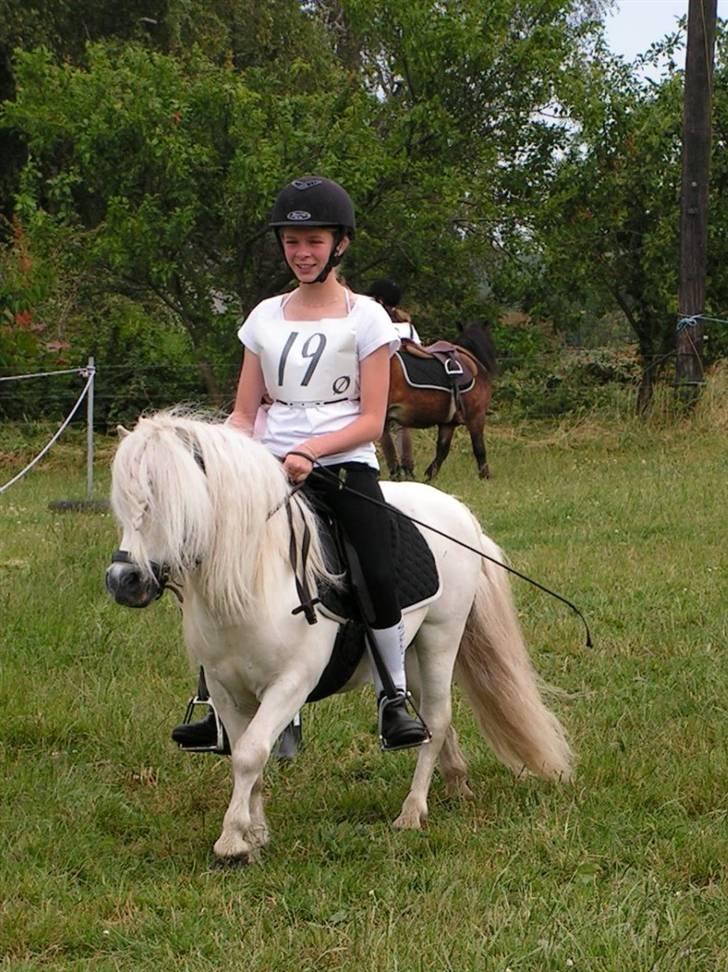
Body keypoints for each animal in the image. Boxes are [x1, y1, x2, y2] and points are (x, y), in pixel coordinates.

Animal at [106, 414, 576, 860]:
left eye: (172, 501)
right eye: (124, 504)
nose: (123, 581)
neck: (255, 575)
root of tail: (461, 515)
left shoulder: (291, 683)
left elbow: (251, 752)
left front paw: (232, 841)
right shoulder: (225, 689)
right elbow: (244, 753)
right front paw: (255, 835)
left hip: (441, 635)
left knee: (438, 717)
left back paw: (412, 811)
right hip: (411, 650)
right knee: (426, 717)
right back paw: (456, 783)